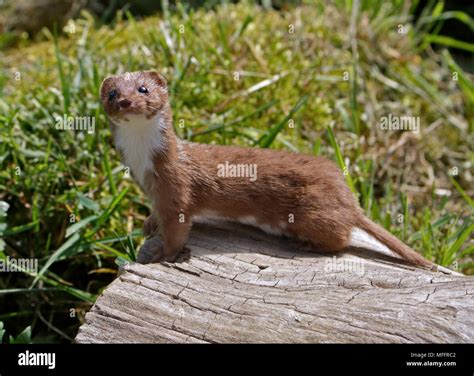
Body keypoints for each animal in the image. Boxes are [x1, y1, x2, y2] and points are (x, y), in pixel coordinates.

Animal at [99, 69, 448, 272]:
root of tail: (351, 199)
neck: (144, 163)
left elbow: (177, 230)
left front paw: (164, 254)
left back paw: (305, 244)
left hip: (313, 214)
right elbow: (157, 216)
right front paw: (148, 224)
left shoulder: (177, 191)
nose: (125, 101)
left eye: (143, 89)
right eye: (113, 93)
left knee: (340, 237)